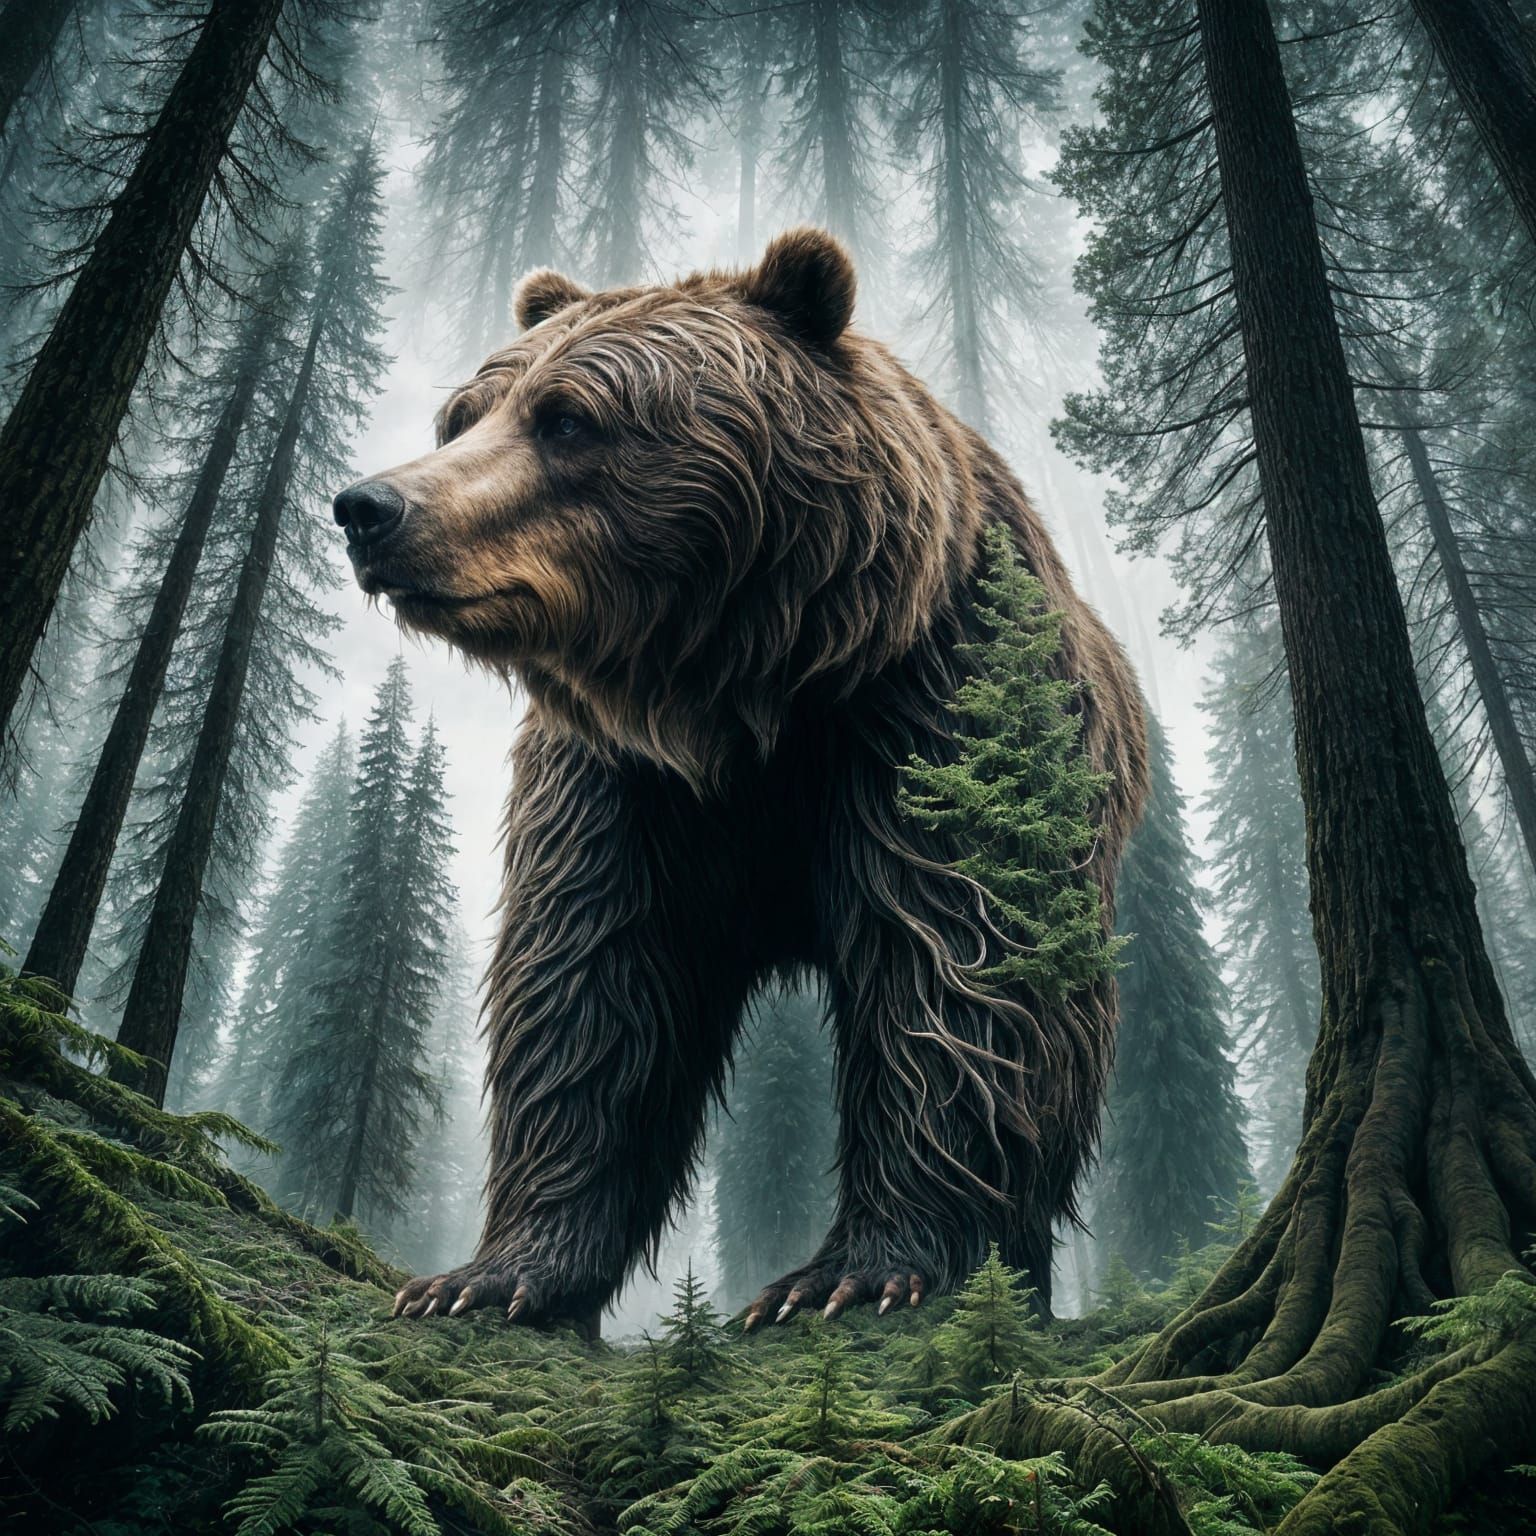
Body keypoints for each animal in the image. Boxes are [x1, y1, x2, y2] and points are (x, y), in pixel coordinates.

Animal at [332, 228, 1148, 1332]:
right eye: (463, 415)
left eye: (568, 418)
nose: (371, 507)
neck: (741, 693)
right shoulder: (622, 789)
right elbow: (590, 995)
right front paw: (487, 1275)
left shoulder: (922, 714)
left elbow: (957, 974)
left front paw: (850, 1273)